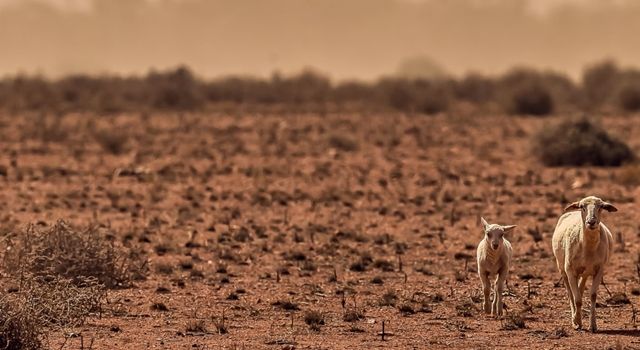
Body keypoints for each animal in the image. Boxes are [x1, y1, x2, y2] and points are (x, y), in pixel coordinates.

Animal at [552, 196, 616, 332]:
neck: (589, 248)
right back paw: (574, 317)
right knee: (570, 293)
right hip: (562, 268)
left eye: (601, 206)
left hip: (585, 271)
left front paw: (593, 325)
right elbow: (577, 300)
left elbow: (592, 295)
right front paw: (577, 322)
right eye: (582, 207)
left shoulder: (599, 270)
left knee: (580, 288)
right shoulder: (570, 270)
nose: (591, 222)